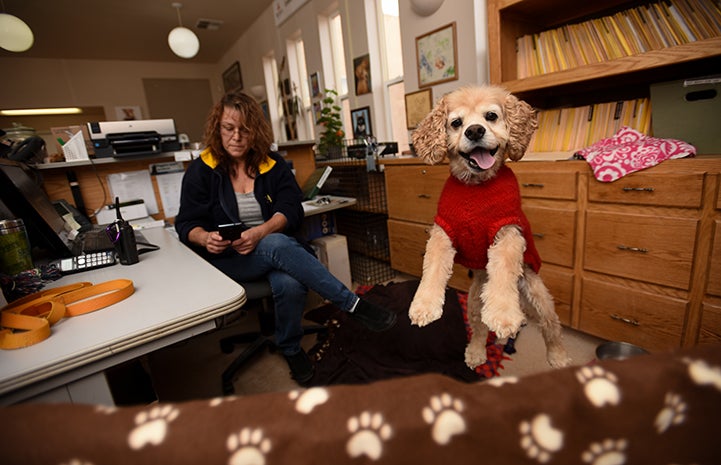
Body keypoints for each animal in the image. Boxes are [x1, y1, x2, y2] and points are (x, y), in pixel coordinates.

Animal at [408, 85, 572, 370]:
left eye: (491, 116)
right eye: (456, 123)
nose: (474, 131)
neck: (476, 186)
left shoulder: (507, 231)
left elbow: (504, 268)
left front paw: (504, 315)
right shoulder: (443, 231)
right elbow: (433, 266)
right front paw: (424, 305)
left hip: (539, 298)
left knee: (552, 327)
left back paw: (558, 357)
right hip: (474, 303)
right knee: (479, 329)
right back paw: (475, 353)